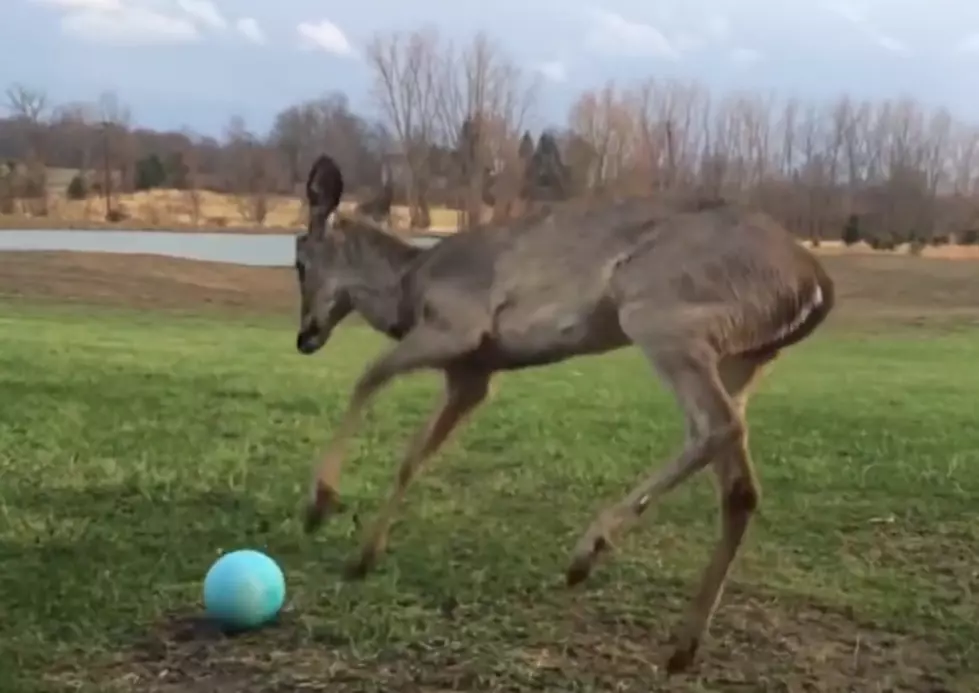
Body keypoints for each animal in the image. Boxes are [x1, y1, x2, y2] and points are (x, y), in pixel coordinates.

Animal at [290, 153, 836, 676]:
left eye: (298, 261)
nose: (304, 337)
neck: (408, 289)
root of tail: (816, 283)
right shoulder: (473, 374)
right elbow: (414, 457)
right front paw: (363, 556)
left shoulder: (459, 326)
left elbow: (368, 376)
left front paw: (320, 505)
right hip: (743, 356)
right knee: (740, 485)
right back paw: (683, 647)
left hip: (661, 311)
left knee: (716, 426)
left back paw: (587, 553)